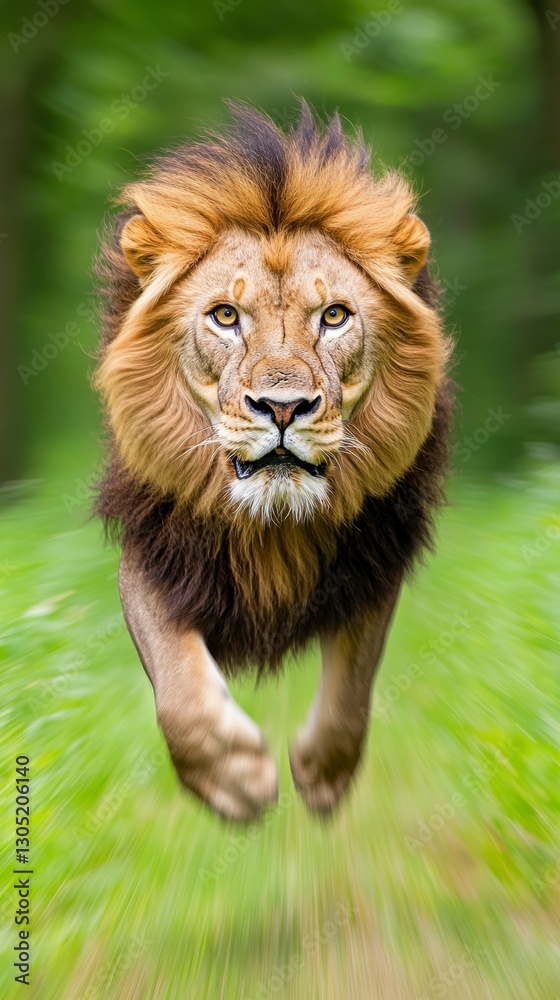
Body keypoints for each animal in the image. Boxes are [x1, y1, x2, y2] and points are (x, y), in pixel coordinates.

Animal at [94, 102, 453, 821]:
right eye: (226, 316)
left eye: (335, 316)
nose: (282, 408)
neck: (275, 525)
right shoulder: (155, 553)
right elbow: (180, 689)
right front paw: (233, 778)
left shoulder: (373, 563)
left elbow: (353, 683)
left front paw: (323, 773)